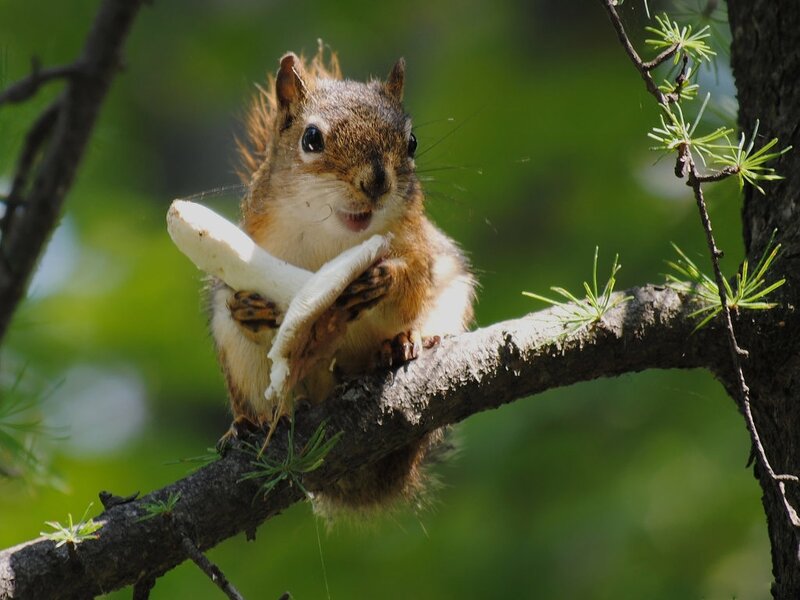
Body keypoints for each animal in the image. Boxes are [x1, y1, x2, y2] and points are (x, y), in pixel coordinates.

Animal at [210, 45, 476, 514]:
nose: (377, 182)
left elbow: (413, 278)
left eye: (412, 142)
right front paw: (250, 308)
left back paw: (403, 344)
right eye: (311, 139)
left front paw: (387, 278)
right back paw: (248, 424)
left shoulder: (420, 244)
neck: (335, 237)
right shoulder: (255, 247)